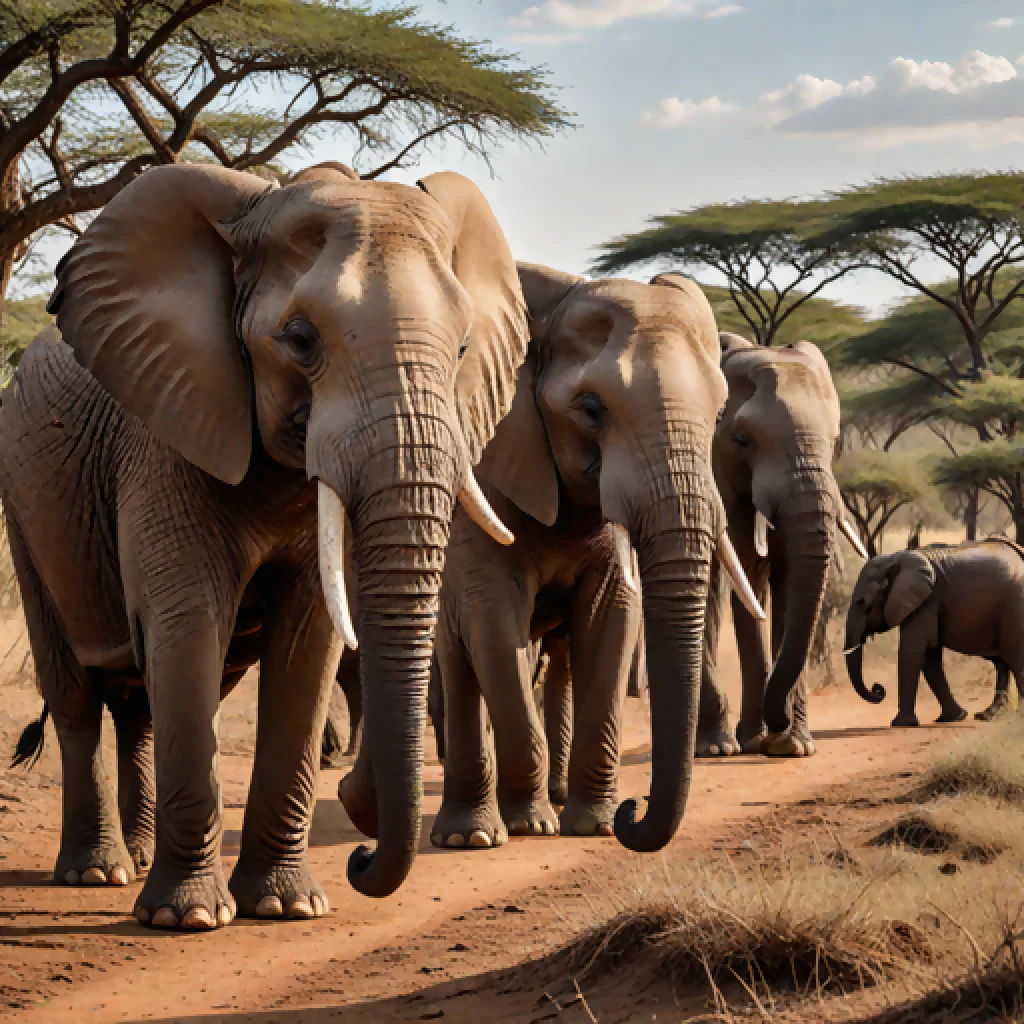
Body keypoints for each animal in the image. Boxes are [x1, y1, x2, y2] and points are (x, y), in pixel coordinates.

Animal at [0, 159, 528, 929]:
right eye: (300, 338)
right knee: (74, 694)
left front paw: (287, 907)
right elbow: (188, 622)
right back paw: (97, 873)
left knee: (142, 702)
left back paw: (136, 859)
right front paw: (188, 920)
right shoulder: (165, 436)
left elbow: (307, 641)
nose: (361, 851)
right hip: (25, 508)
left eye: (461, 347)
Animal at [338, 263, 764, 853]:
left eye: (720, 412)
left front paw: (596, 824)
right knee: (458, 657)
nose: (635, 810)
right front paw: (532, 825)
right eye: (591, 409)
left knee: (553, 660)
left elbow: (611, 619)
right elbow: (495, 625)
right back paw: (469, 833)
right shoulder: (484, 474)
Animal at [698, 333, 869, 759]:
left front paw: (792, 745)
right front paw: (760, 740)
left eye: (835, 441)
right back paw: (717, 747)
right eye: (741, 440)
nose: (779, 722)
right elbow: (750, 575)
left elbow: (792, 584)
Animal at [844, 539, 1024, 727]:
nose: (878, 689)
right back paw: (987, 716)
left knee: (1016, 658)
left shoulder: (926, 601)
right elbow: (929, 656)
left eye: (861, 602)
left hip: (1015, 606)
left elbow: (912, 651)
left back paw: (1016, 717)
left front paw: (900, 724)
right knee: (1002, 663)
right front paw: (954, 717)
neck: (895, 558)